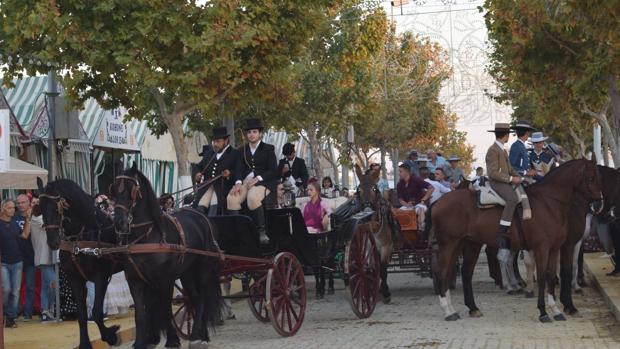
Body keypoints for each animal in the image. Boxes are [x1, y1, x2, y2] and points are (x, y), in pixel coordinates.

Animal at [38, 177, 123, 348]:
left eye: (57, 208)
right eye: (40, 208)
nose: (53, 242)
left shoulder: (101, 277)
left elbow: (96, 312)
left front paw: (110, 335)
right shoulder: (75, 279)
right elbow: (82, 315)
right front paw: (85, 343)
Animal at [111, 164, 223, 348]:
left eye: (132, 189)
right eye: (113, 189)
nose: (119, 222)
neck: (148, 236)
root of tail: (202, 217)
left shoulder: (165, 280)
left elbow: (165, 309)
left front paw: (172, 339)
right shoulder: (135, 281)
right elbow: (141, 314)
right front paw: (141, 342)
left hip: (203, 270)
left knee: (202, 299)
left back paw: (196, 335)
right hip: (187, 274)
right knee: (195, 299)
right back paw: (202, 334)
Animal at [354, 164, 398, 302]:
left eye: (375, 189)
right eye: (358, 190)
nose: (367, 208)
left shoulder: (386, 247)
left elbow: (383, 269)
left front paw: (386, 292)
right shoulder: (367, 248)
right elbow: (371, 269)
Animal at [432, 159, 600, 322]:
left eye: (597, 177)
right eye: (590, 178)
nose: (599, 203)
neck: (549, 203)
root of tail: (439, 201)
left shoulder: (554, 248)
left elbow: (551, 276)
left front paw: (556, 310)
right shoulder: (543, 248)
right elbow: (543, 276)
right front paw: (543, 312)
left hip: (468, 244)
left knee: (464, 272)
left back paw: (471, 308)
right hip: (449, 244)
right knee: (442, 272)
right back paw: (448, 311)